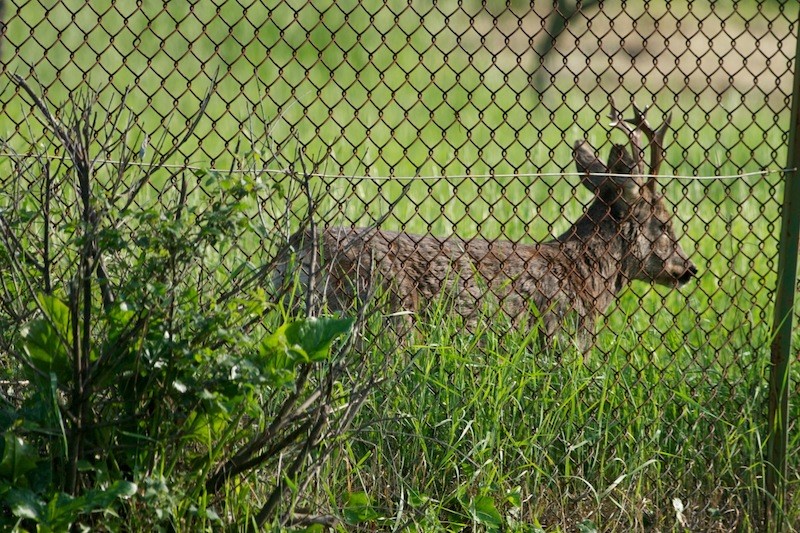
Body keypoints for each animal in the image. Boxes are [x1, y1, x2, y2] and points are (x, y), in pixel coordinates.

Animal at [278, 100, 696, 348]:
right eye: (664, 222)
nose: (689, 269)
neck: (583, 272)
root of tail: (298, 247)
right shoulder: (560, 340)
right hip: (381, 315)